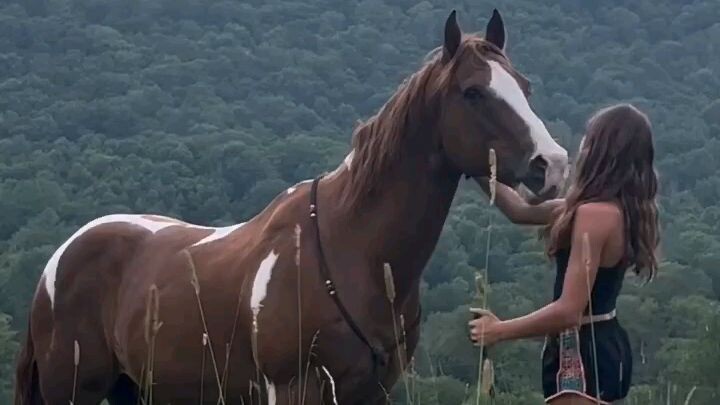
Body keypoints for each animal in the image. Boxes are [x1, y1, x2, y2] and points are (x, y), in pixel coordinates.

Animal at [14, 9, 568, 405]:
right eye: (473, 92)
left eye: (524, 86)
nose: (553, 164)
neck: (351, 248)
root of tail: (58, 258)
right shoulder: (294, 389)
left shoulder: (372, 393)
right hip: (74, 390)